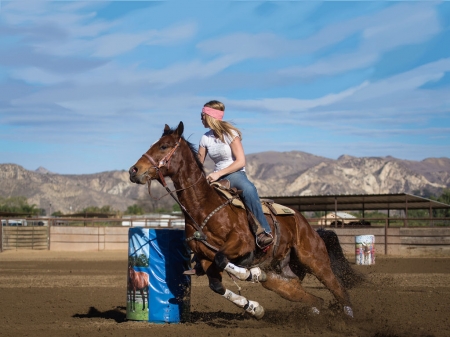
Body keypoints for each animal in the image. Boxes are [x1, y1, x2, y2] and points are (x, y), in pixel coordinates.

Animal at [128, 122, 364, 318]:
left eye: (164, 146)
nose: (134, 170)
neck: (204, 207)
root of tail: (305, 223)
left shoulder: (242, 243)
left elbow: (224, 259)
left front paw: (254, 274)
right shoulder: (205, 259)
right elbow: (217, 284)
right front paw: (255, 308)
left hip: (315, 260)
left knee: (338, 288)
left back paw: (349, 316)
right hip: (285, 271)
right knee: (303, 293)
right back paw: (317, 310)